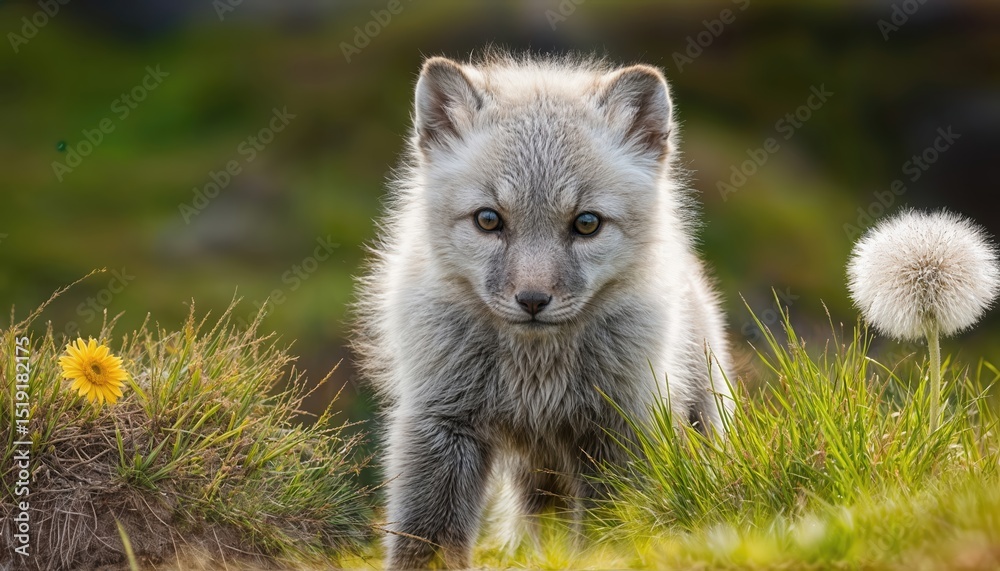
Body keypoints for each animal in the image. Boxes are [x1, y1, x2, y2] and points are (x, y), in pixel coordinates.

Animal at [353, 53, 733, 569]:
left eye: (587, 223)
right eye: (488, 219)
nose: (532, 300)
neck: (536, 378)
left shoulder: (618, 430)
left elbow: (612, 533)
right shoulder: (442, 421)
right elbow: (426, 537)